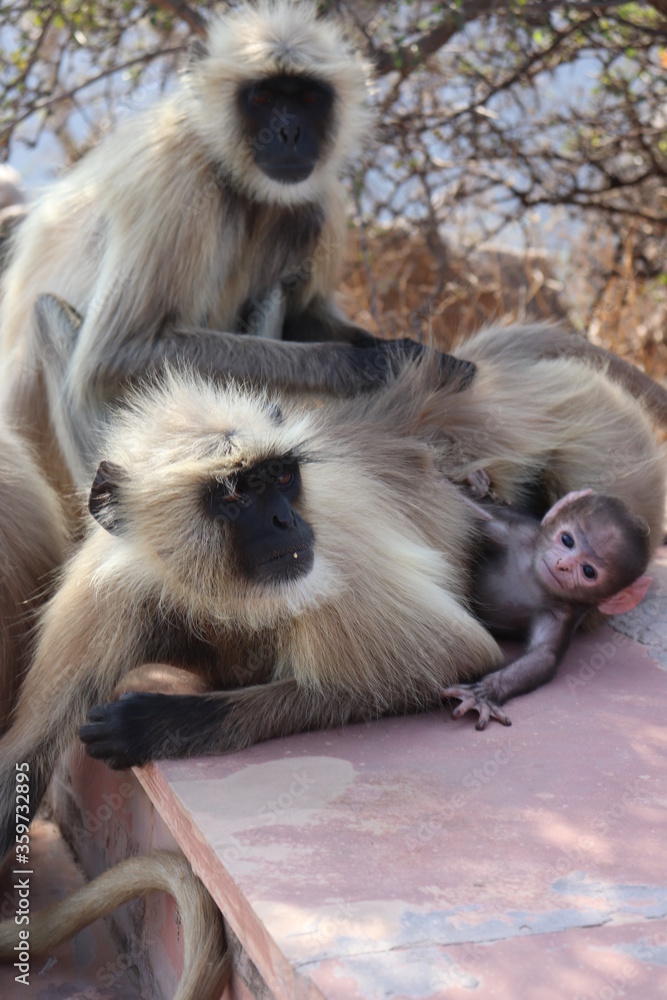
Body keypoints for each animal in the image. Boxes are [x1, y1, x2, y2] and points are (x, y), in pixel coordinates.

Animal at [441, 484, 653, 729]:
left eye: (588, 571)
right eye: (567, 540)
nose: (563, 565)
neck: (533, 580)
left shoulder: (562, 613)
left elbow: (543, 655)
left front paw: (485, 692)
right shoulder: (509, 533)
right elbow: (467, 510)